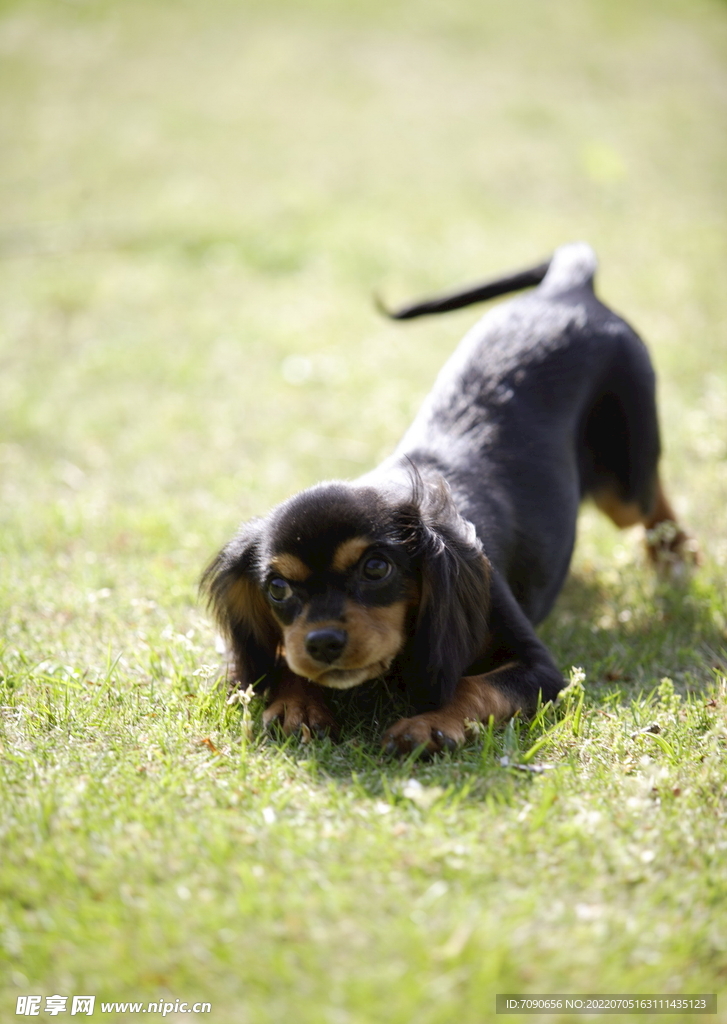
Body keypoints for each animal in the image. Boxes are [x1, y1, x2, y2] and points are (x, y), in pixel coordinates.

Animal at [203, 239, 696, 753]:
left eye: (376, 568)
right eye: (277, 588)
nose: (321, 642)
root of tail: (567, 288)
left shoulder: (539, 667)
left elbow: (473, 685)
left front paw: (429, 723)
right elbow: (278, 660)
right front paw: (296, 702)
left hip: (624, 481)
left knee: (651, 504)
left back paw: (675, 559)